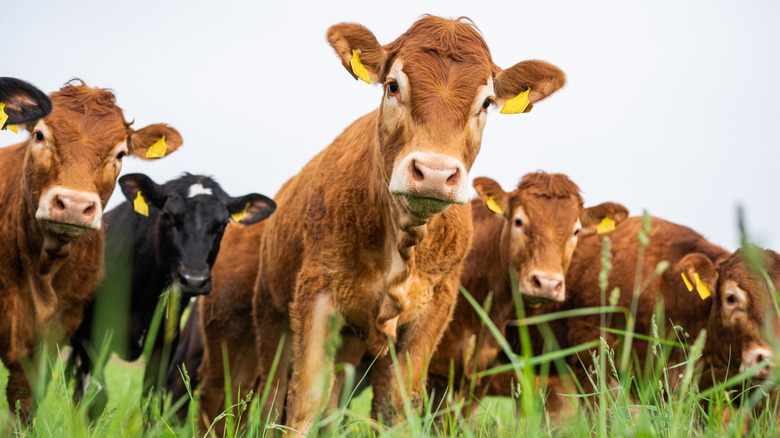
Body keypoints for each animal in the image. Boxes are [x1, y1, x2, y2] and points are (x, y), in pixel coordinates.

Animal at [0, 79, 182, 423]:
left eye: (120, 153)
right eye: (39, 135)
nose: (73, 205)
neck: (43, 268)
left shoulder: (61, 328)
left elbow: (25, 399)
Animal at [69, 173, 275, 418]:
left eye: (223, 223)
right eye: (167, 215)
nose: (194, 279)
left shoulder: (164, 342)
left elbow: (152, 400)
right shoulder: (92, 336)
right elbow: (97, 398)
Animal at [197, 15, 566, 434]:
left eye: (486, 102)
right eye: (393, 86)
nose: (435, 172)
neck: (400, 243)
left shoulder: (432, 314)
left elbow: (396, 408)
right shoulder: (316, 296)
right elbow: (305, 401)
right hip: (260, 325)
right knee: (256, 399)